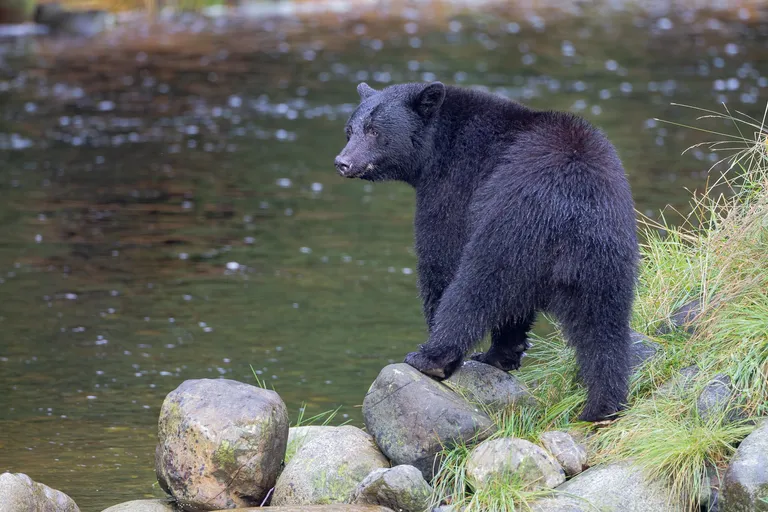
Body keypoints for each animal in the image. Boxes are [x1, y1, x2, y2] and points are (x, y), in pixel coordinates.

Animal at [334, 81, 639, 422]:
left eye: (374, 131)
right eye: (349, 130)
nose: (343, 162)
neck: (437, 145)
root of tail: (572, 204)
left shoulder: (453, 184)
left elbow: (440, 256)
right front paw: (503, 355)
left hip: (509, 230)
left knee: (474, 289)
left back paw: (431, 359)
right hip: (606, 257)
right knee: (604, 329)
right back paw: (603, 405)